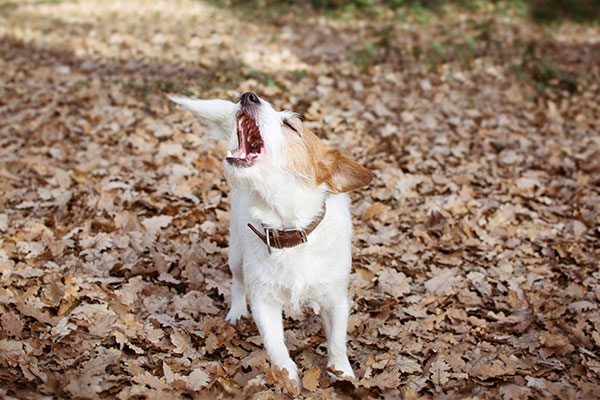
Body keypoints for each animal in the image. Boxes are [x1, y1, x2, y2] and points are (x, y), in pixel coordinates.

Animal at [169, 90, 372, 384]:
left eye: (289, 125)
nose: (247, 95)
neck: (290, 230)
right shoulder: (264, 301)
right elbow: (275, 344)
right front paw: (286, 378)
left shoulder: (336, 299)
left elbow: (336, 341)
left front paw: (342, 373)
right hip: (235, 254)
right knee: (237, 282)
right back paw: (236, 312)